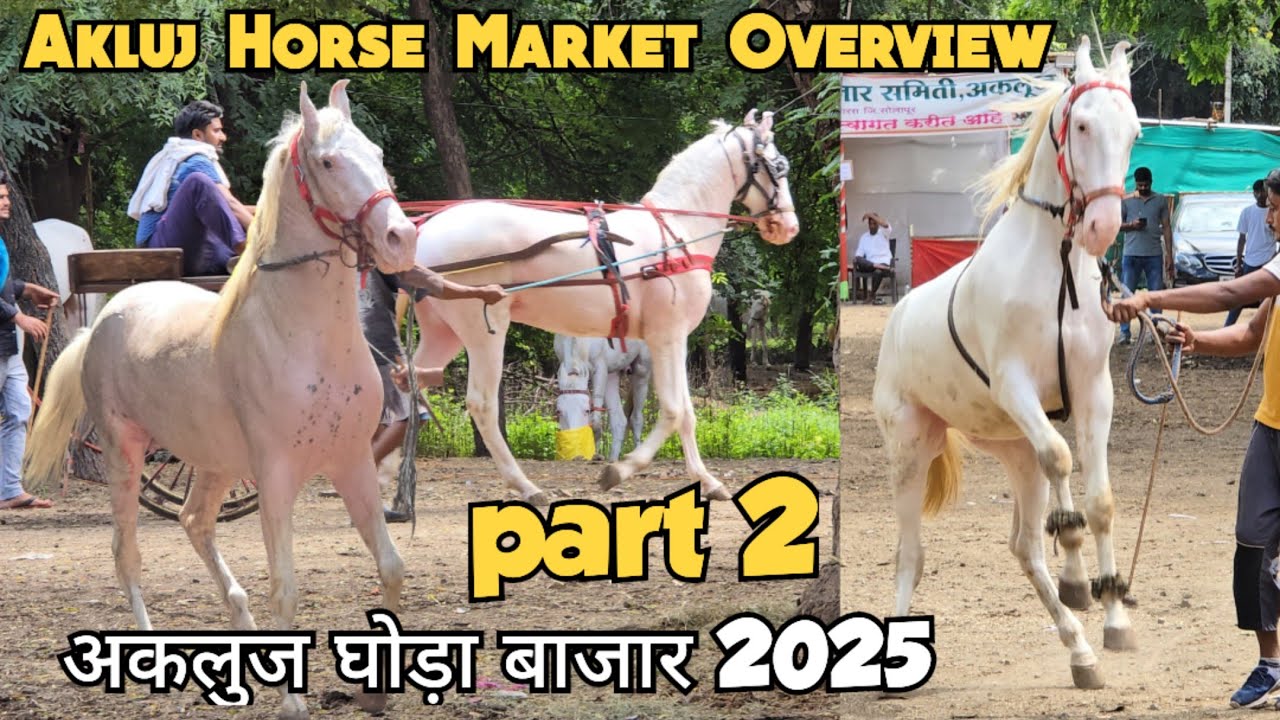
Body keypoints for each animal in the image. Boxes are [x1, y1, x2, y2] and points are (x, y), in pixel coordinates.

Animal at [25, 80, 417, 718]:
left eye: (377, 153)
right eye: (328, 163)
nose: (400, 239)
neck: (306, 337)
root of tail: (105, 318)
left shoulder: (352, 462)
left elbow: (390, 567)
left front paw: (376, 694)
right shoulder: (276, 476)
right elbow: (286, 589)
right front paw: (293, 704)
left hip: (213, 464)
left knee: (194, 521)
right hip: (125, 453)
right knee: (126, 553)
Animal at [410, 110, 799, 504]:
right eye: (778, 166)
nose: (789, 226)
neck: (675, 234)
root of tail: (425, 231)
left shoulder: (675, 340)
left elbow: (686, 413)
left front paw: (708, 481)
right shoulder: (666, 336)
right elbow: (673, 411)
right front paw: (619, 470)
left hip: (442, 333)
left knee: (409, 385)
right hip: (483, 330)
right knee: (481, 405)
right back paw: (526, 486)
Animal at [871, 37, 1140, 689]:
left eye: (1135, 132)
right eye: (1083, 125)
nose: (1103, 228)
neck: (1055, 271)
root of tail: (897, 319)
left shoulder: (1094, 390)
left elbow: (1099, 502)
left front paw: (1112, 616)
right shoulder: (1017, 385)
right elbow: (1062, 458)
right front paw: (1079, 579)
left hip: (1011, 450)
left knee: (1024, 547)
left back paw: (1080, 651)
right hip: (911, 448)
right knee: (911, 551)